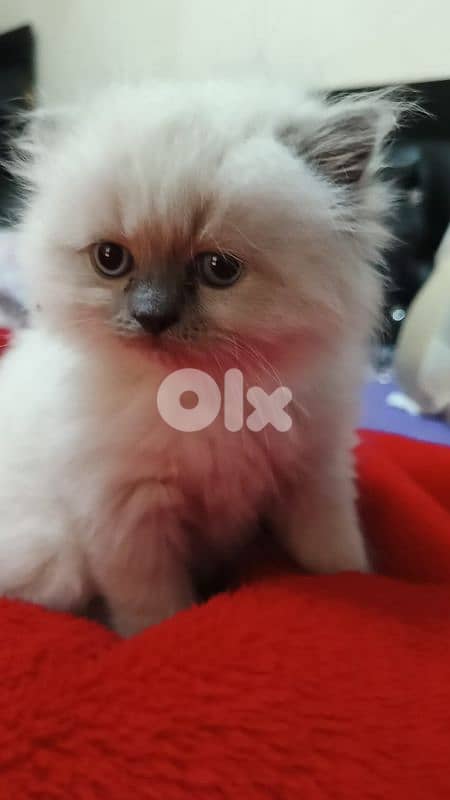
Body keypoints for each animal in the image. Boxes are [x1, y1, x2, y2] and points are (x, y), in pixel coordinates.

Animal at [0, 81, 399, 636]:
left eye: (219, 269)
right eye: (110, 260)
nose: (151, 316)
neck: (210, 395)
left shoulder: (314, 475)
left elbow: (335, 555)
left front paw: (360, 580)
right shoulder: (130, 518)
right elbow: (155, 611)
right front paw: (153, 635)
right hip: (54, 559)